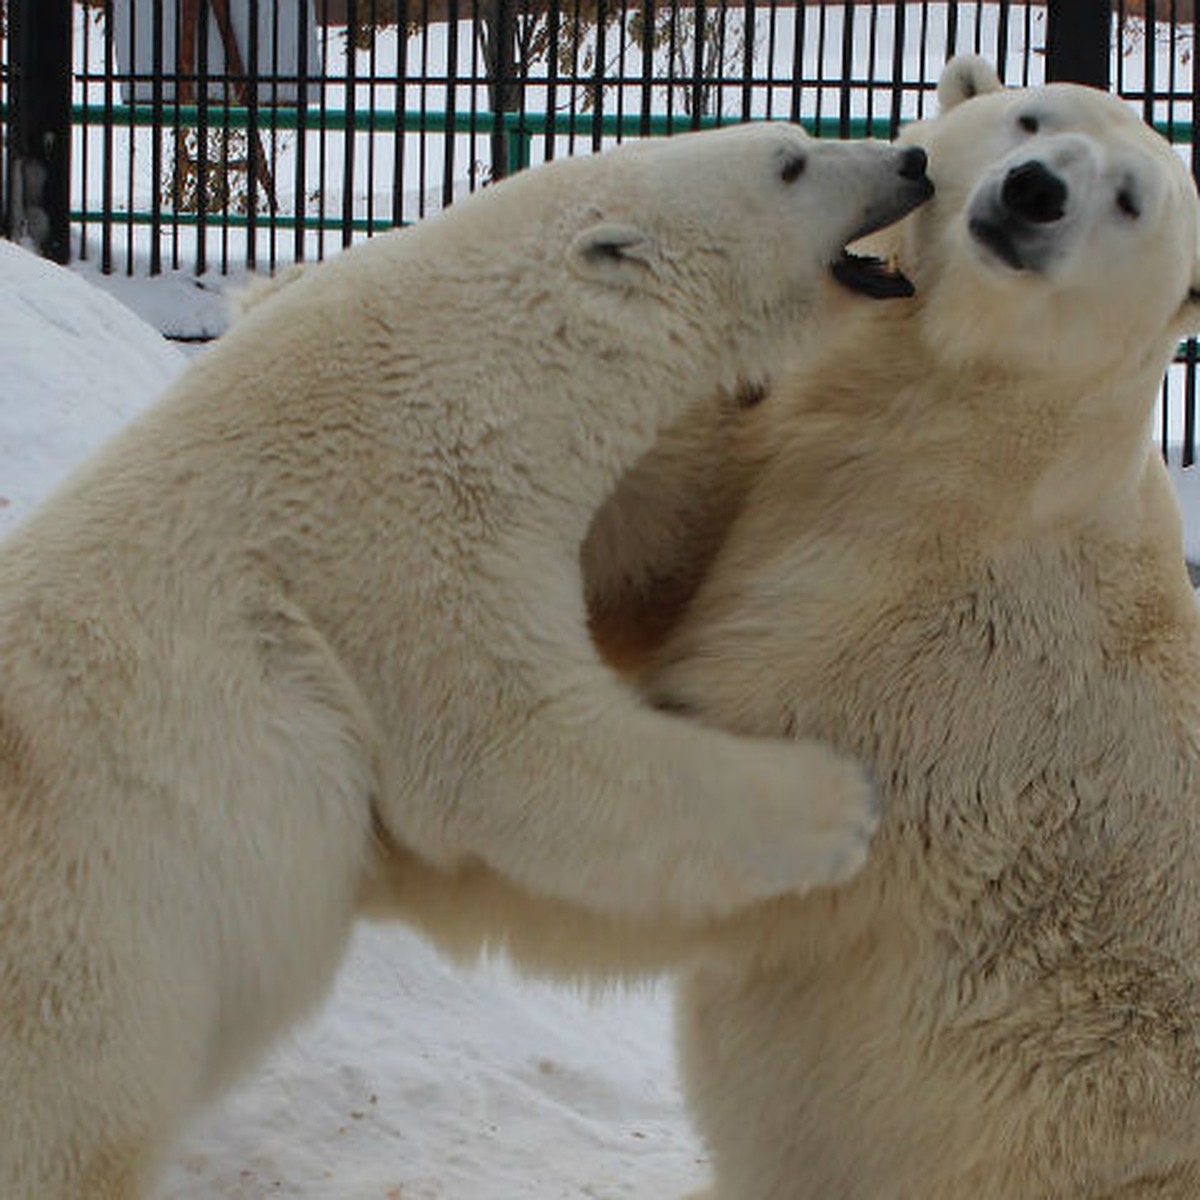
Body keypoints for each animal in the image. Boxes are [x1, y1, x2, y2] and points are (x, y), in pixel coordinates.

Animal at [0, 124, 926, 1200]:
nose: (910, 160)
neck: (479, 368)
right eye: (789, 161)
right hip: (87, 975)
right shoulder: (394, 534)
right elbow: (509, 753)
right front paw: (841, 800)